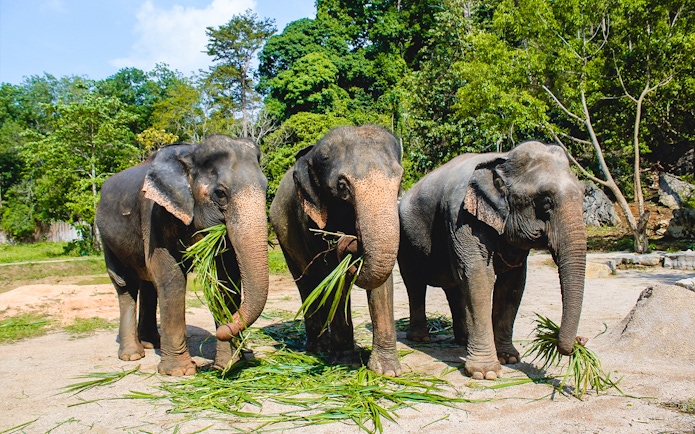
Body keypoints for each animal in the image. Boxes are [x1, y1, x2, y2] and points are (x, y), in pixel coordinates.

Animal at [95, 134, 269, 376]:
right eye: (220, 193)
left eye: (266, 188)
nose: (224, 330)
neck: (191, 153)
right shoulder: (155, 213)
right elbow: (171, 276)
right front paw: (180, 372)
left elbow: (226, 279)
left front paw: (230, 364)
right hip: (106, 237)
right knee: (125, 284)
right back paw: (132, 355)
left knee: (148, 284)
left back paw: (152, 343)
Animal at [269, 125, 403, 377]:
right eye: (342, 187)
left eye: (400, 181)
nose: (350, 240)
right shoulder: (312, 222)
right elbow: (334, 278)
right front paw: (345, 362)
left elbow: (382, 284)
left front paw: (387, 371)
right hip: (283, 238)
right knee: (307, 283)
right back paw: (318, 348)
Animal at [398, 141, 586, 380]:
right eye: (545, 202)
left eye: (584, 195)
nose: (581, 340)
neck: (502, 159)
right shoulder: (461, 216)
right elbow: (479, 277)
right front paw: (485, 373)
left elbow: (512, 285)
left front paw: (509, 358)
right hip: (404, 240)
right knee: (415, 284)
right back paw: (420, 338)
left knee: (455, 287)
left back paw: (463, 339)